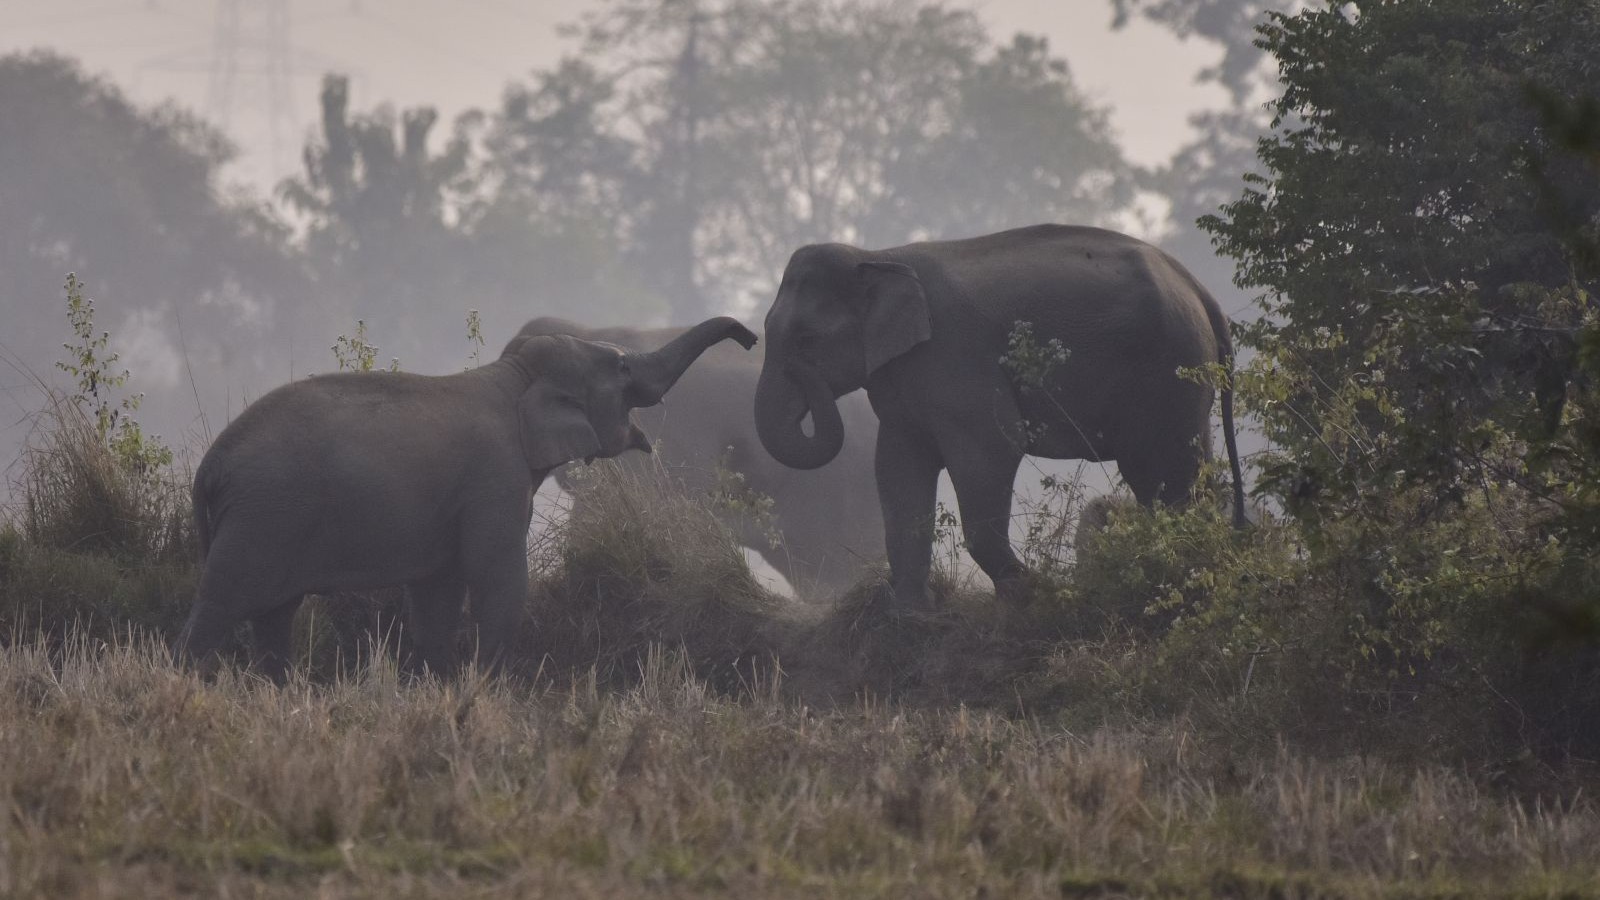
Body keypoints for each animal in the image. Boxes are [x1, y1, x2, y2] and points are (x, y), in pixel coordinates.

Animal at [179, 317, 758, 680]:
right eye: (620, 367)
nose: (751, 338)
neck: (514, 377)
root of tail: (211, 466)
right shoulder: (495, 479)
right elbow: (495, 576)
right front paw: (486, 688)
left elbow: (438, 592)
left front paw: (439, 685)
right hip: (262, 516)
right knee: (224, 601)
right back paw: (188, 679)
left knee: (275, 615)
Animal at [753, 224, 1244, 609]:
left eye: (806, 340)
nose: (801, 374)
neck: (877, 256)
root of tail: (1203, 294)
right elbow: (897, 467)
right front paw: (912, 612)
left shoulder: (955, 353)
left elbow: (992, 447)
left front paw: (1028, 592)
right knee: (1163, 476)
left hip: (1173, 370)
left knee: (1168, 472)